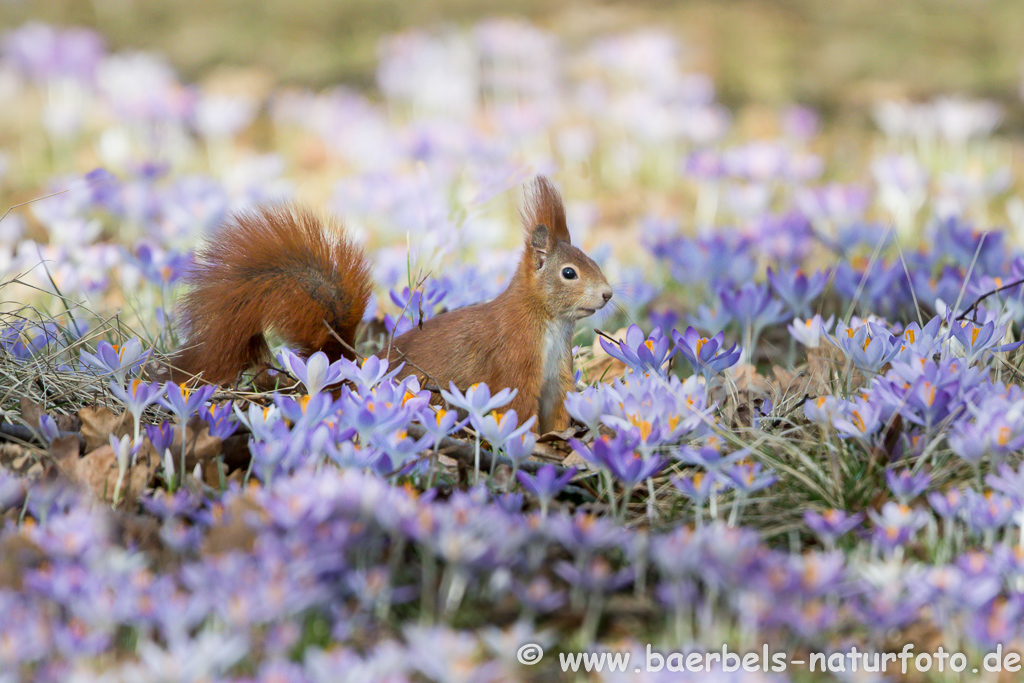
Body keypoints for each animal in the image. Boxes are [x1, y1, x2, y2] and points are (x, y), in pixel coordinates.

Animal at [172, 176, 610, 432]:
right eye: (569, 273)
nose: (608, 294)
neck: (547, 321)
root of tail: (349, 374)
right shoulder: (514, 361)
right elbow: (519, 408)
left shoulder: (558, 372)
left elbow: (558, 408)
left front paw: (559, 439)